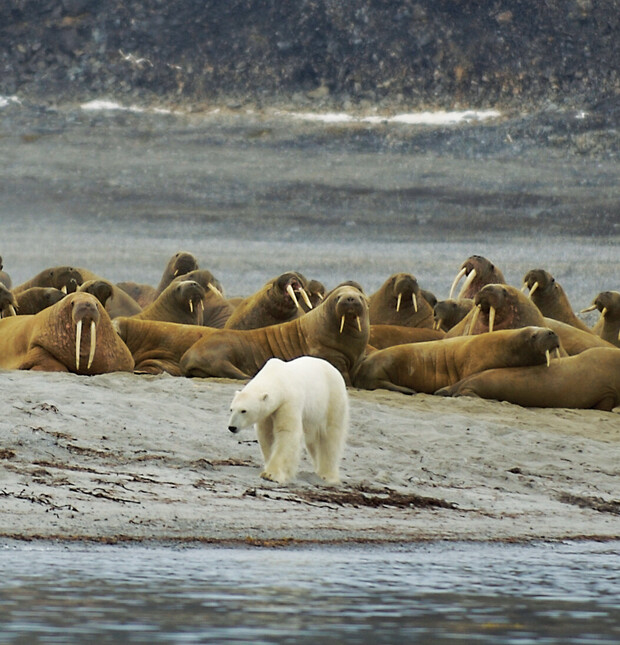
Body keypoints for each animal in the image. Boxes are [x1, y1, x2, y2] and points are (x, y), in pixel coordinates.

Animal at [227, 356, 349, 484]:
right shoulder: (268, 413)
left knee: (330, 437)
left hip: (332, 400)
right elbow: (266, 435)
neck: (278, 378)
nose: (232, 427)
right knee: (314, 442)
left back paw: (327, 475)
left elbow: (287, 432)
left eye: (244, 411)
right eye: (231, 409)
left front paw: (271, 474)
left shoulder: (289, 400)